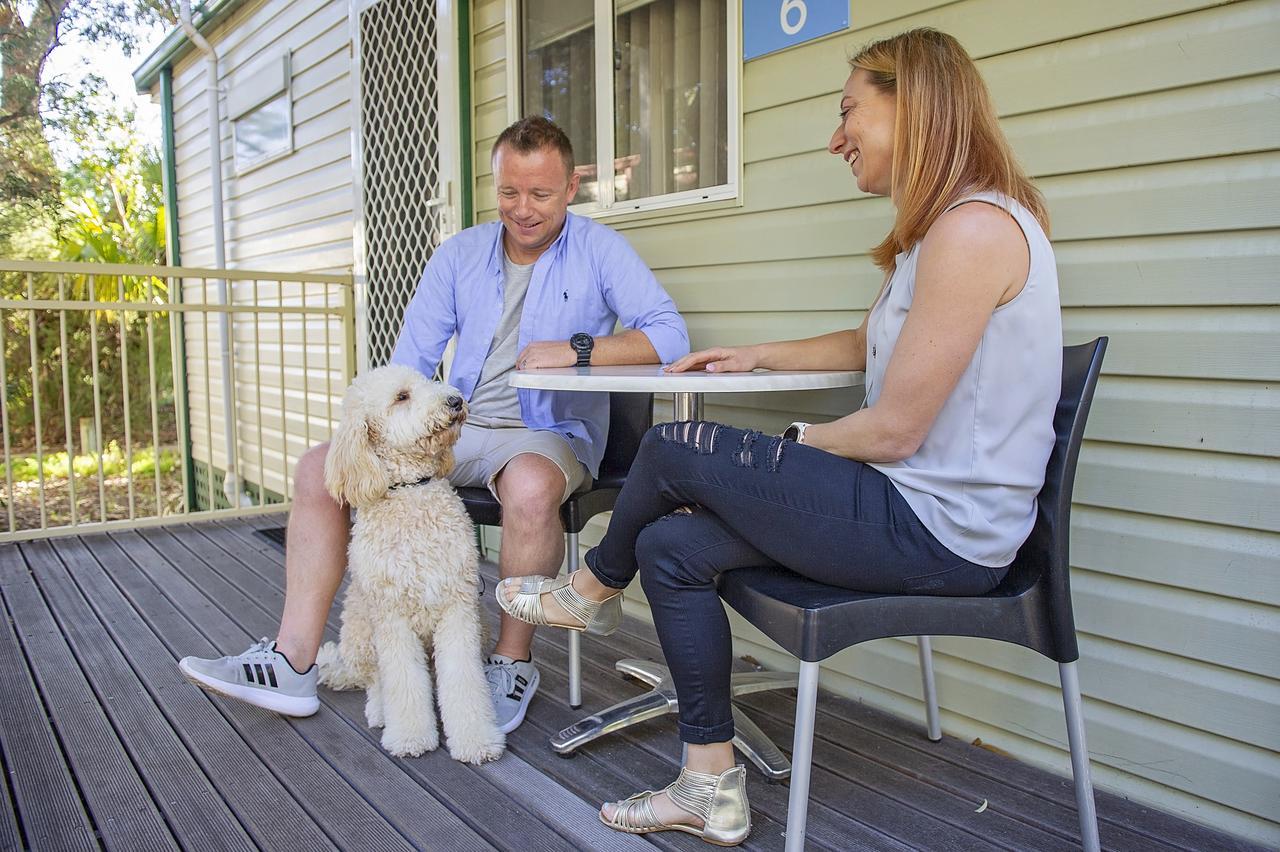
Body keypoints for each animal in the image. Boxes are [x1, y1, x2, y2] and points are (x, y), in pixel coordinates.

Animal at [314, 360, 504, 757]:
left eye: (428, 380)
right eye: (401, 397)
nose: (455, 400)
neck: (412, 491)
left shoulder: (458, 608)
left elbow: (463, 680)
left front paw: (476, 739)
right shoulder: (391, 617)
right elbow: (402, 682)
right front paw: (411, 737)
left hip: (481, 623)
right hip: (359, 632)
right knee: (376, 682)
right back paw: (379, 711)